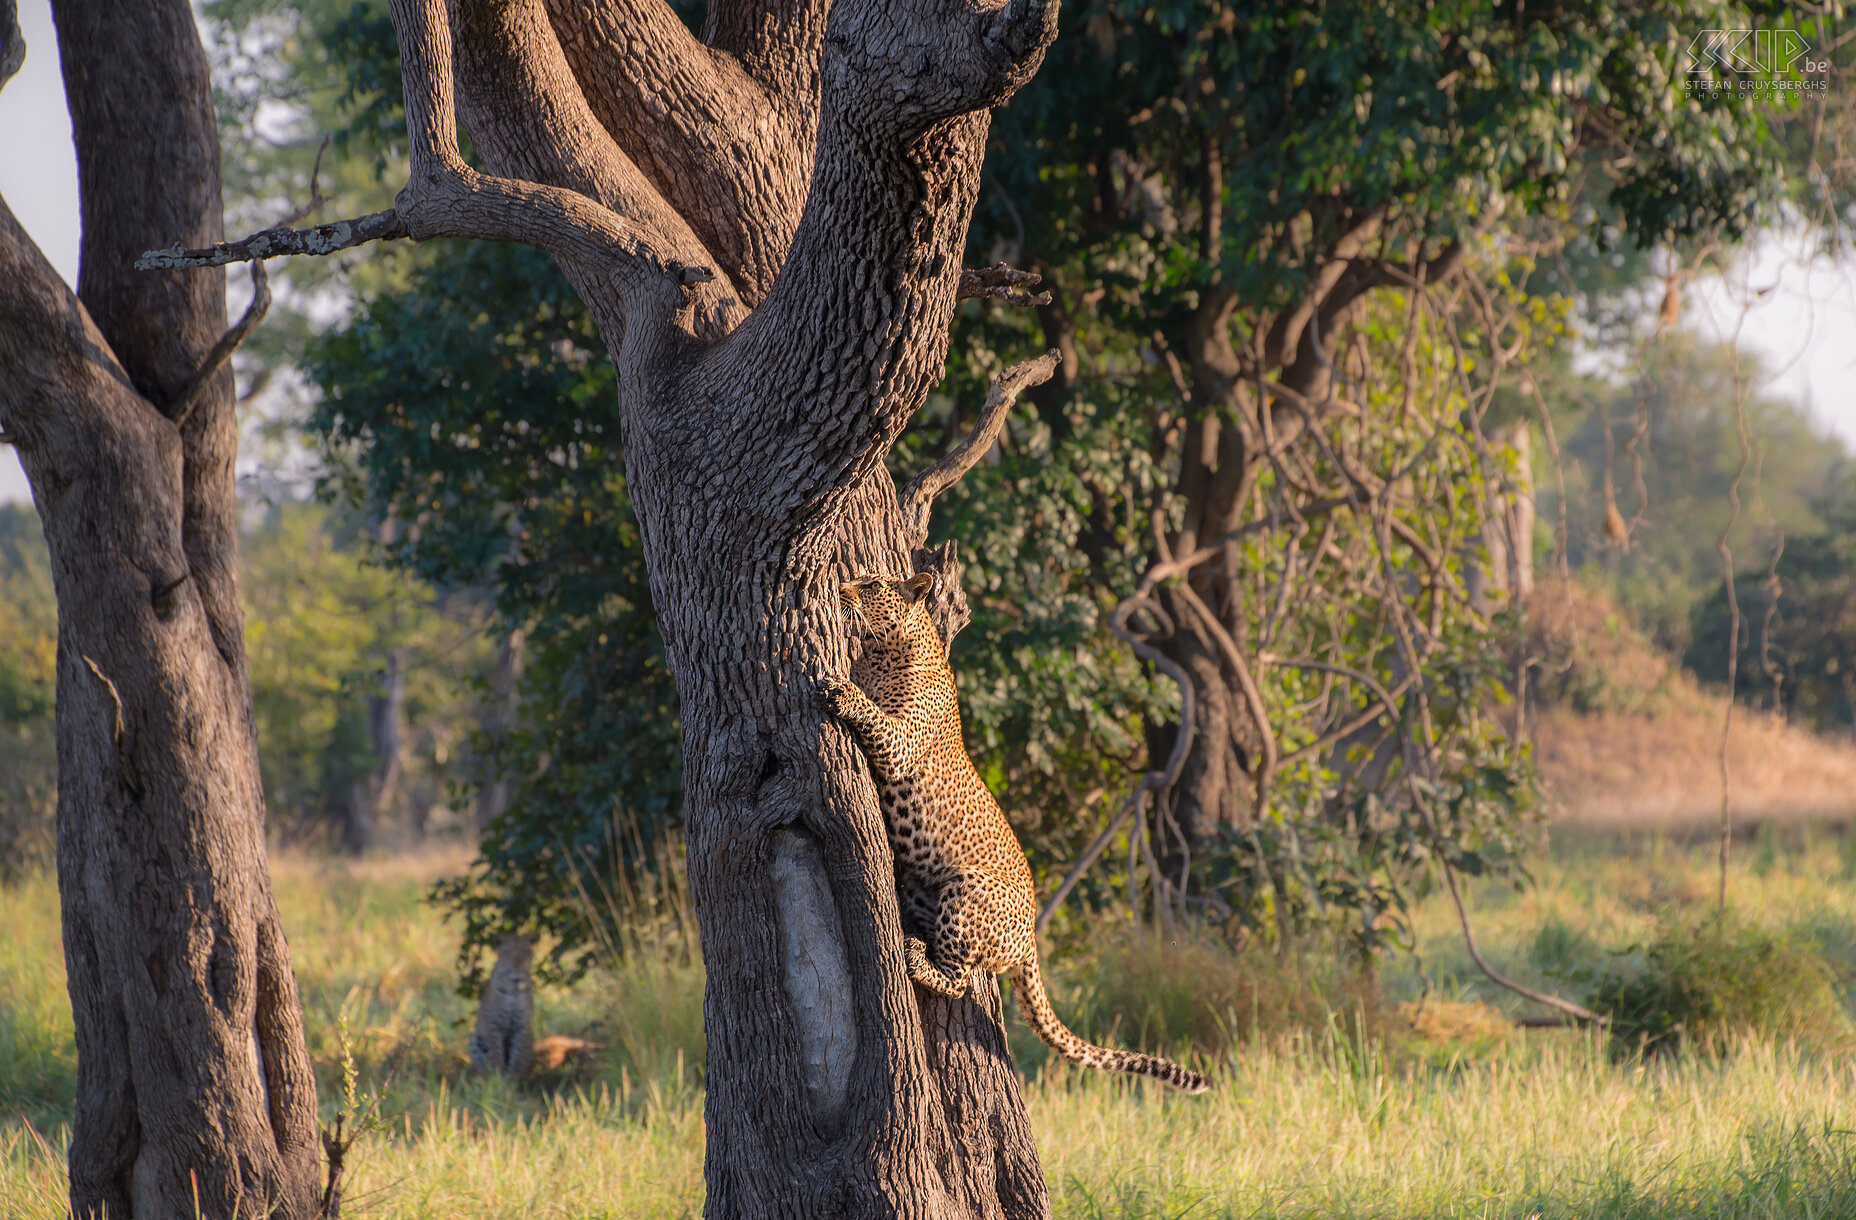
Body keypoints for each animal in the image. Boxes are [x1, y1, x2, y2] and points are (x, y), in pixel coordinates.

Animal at [467, 932, 534, 1077]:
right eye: (508, 952)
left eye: (525, 951)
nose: (517, 965)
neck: (515, 987)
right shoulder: (493, 1023)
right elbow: (496, 1052)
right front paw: (497, 1078)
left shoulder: (521, 1026)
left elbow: (518, 1057)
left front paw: (512, 1080)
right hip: (475, 1038)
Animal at [820, 571, 1210, 1091]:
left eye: (871, 584)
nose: (841, 587)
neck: (885, 650)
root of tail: (1031, 944)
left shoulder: (903, 743)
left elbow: (875, 716)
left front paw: (842, 692)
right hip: (927, 890)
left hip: (968, 888)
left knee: (959, 978)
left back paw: (918, 959)